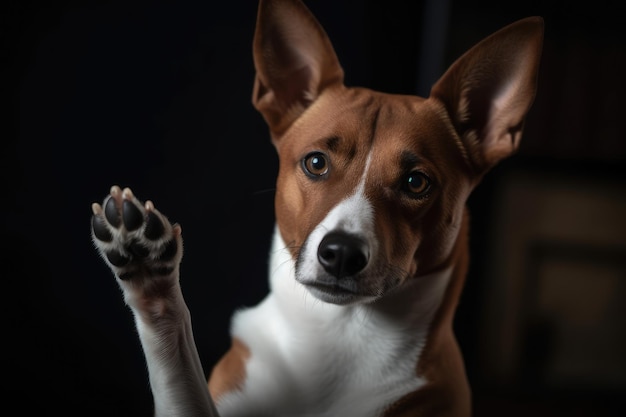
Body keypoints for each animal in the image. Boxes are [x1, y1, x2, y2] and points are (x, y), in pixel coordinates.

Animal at [89, 0, 540, 416]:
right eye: (317, 162)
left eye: (416, 182)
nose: (341, 254)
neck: (333, 336)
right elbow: (177, 358)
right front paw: (148, 272)